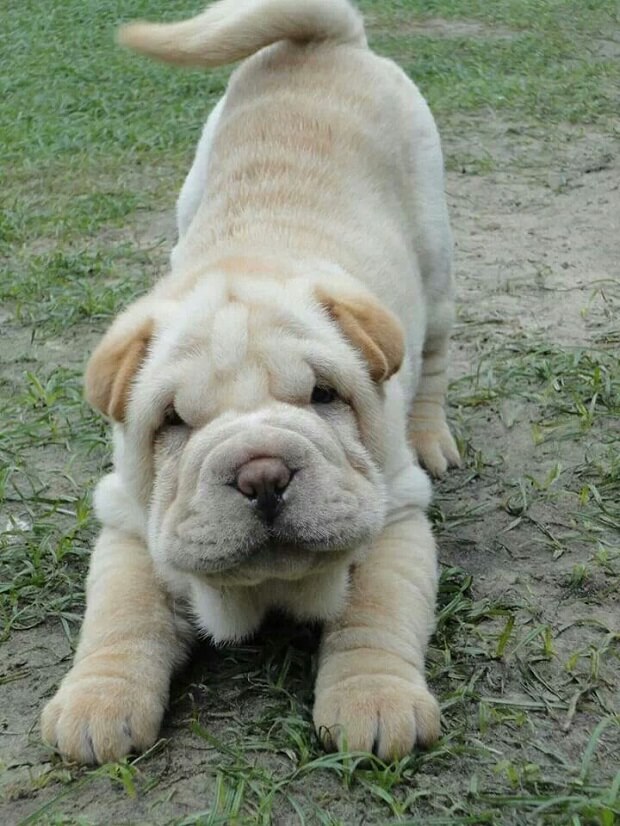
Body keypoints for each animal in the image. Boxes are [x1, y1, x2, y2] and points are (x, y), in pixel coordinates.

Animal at [40, 0, 460, 764]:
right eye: (173, 422)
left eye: (325, 396)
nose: (263, 474)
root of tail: (324, 40)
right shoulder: (128, 522)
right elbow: (119, 614)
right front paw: (96, 703)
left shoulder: (395, 512)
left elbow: (375, 612)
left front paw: (374, 703)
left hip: (437, 258)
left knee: (436, 353)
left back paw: (433, 435)